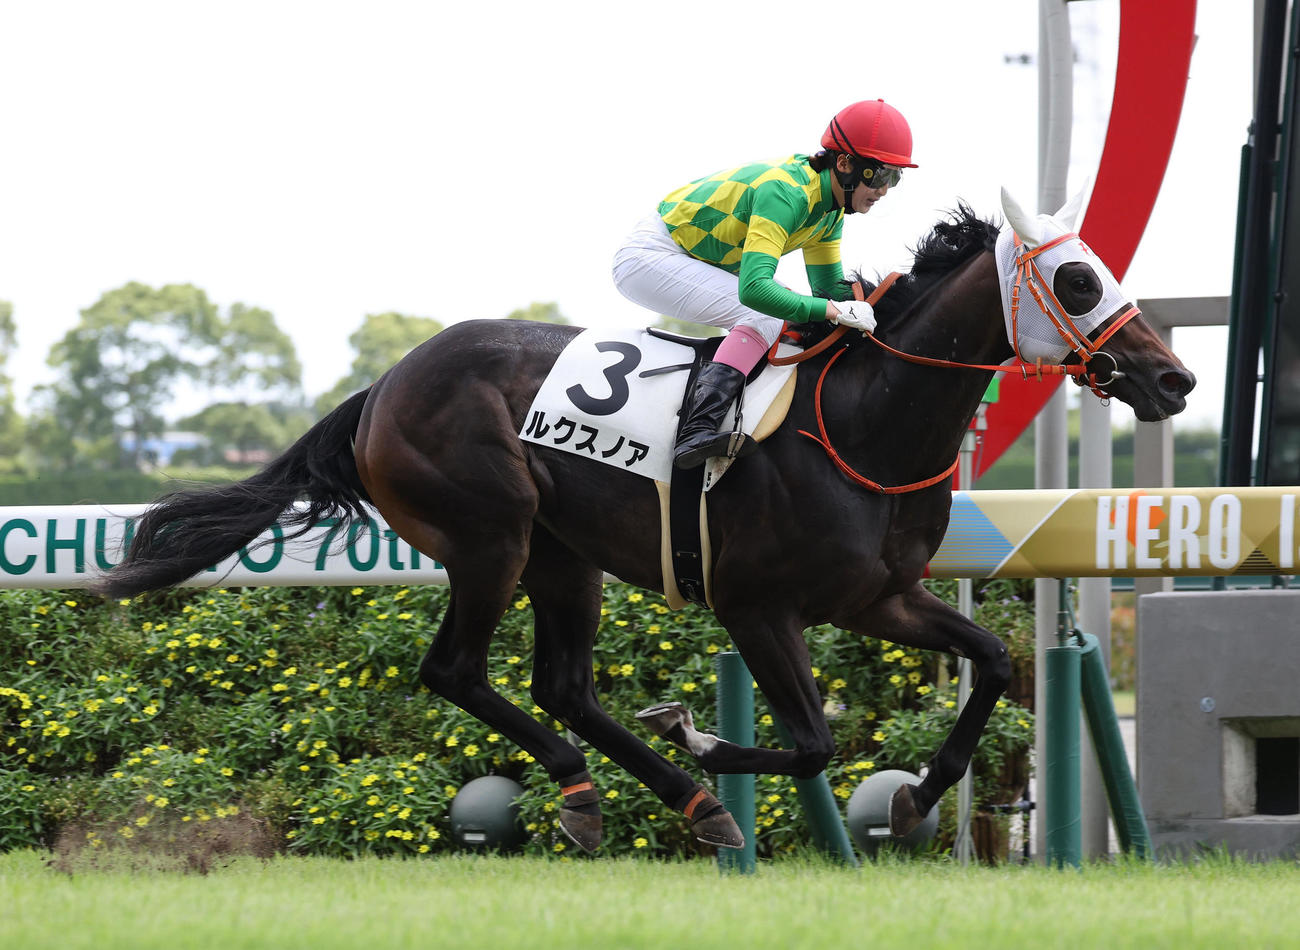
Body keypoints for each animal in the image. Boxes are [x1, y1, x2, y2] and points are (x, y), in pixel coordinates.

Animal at [94, 189, 1195, 853]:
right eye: (1078, 279)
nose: (1173, 379)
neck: (863, 423)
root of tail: (380, 388)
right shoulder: (756, 604)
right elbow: (810, 743)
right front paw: (705, 736)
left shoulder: (879, 596)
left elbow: (993, 661)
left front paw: (921, 793)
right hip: (492, 536)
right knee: (457, 671)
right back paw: (635, 788)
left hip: (561, 555)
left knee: (565, 687)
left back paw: (651, 800)